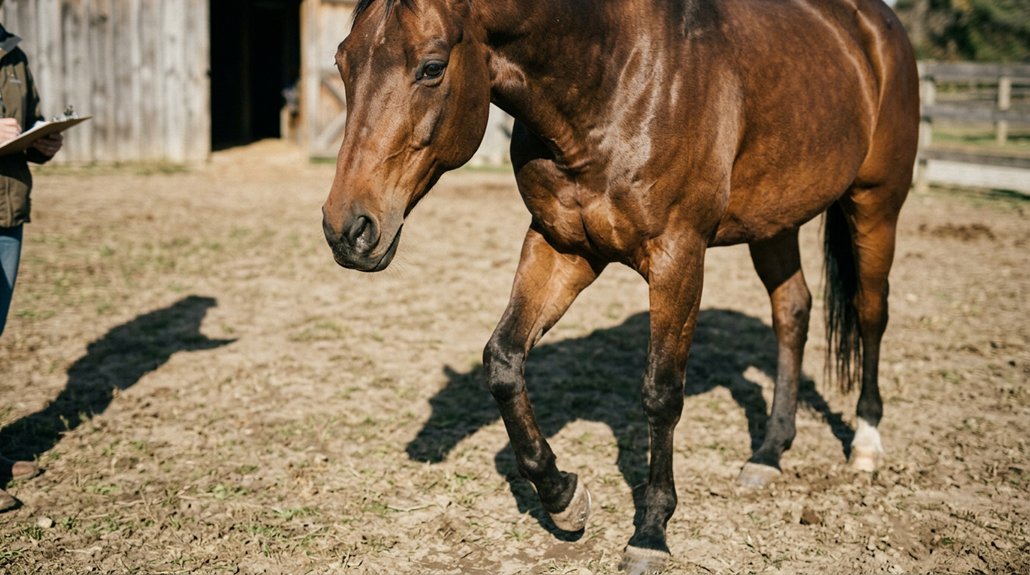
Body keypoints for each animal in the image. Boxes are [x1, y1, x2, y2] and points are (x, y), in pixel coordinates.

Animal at [321, 0, 918, 569]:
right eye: (342, 63)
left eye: (431, 67)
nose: (347, 229)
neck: (616, 78)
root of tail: (877, 24)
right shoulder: (562, 247)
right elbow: (503, 362)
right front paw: (563, 498)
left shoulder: (679, 258)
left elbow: (661, 393)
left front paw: (651, 532)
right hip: (775, 219)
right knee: (792, 311)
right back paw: (769, 453)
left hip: (876, 204)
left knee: (870, 311)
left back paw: (866, 444)